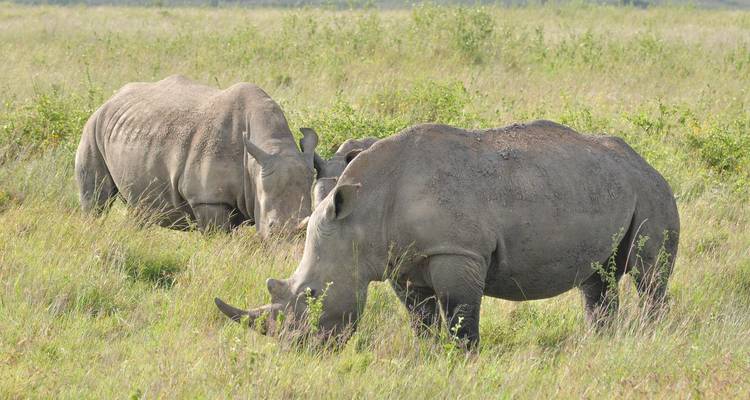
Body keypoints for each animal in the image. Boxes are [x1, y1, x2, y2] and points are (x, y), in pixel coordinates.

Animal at [75, 75, 319, 238]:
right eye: (271, 227)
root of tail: (110, 99)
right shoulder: (207, 199)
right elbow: (218, 237)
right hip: (93, 127)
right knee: (97, 200)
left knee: (138, 206)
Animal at [215, 121, 680, 347]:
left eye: (312, 295)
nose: (294, 347)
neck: (361, 216)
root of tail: (647, 162)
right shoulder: (401, 264)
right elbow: (421, 320)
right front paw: (428, 356)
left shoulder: (457, 252)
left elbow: (460, 317)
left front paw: (463, 359)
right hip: (602, 185)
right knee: (597, 280)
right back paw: (601, 342)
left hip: (652, 192)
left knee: (648, 276)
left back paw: (651, 339)